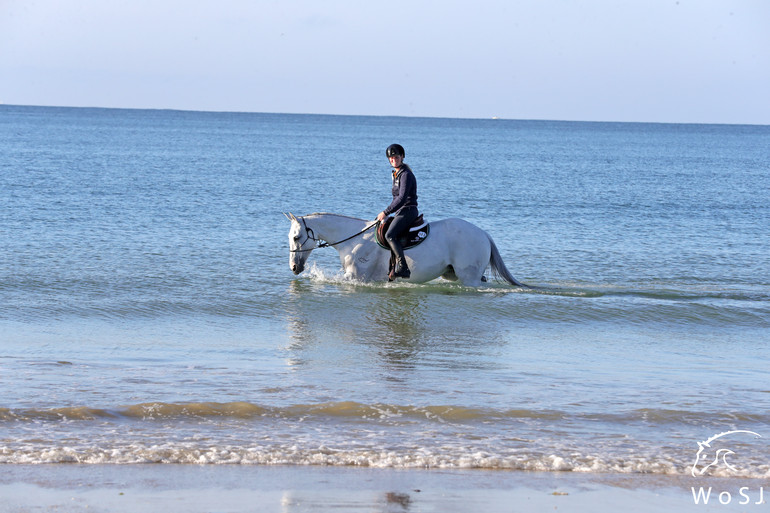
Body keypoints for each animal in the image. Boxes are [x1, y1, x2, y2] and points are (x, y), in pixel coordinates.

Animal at [284, 210, 524, 286]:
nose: (294, 268)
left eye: (296, 237)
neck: (354, 239)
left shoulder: (356, 278)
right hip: (452, 274)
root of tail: (483, 233)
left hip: (468, 278)